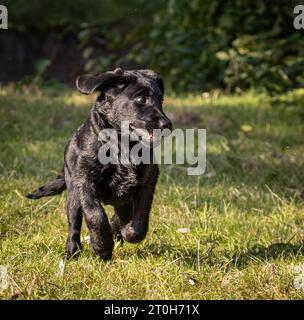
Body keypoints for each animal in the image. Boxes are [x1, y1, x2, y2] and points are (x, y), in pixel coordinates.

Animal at [26, 67, 171, 260]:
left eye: (160, 100)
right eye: (141, 99)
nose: (167, 124)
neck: (121, 146)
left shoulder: (147, 182)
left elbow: (139, 222)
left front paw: (126, 232)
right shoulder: (85, 182)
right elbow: (95, 215)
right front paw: (102, 246)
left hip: (122, 197)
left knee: (122, 214)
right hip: (73, 194)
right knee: (74, 224)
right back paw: (71, 252)